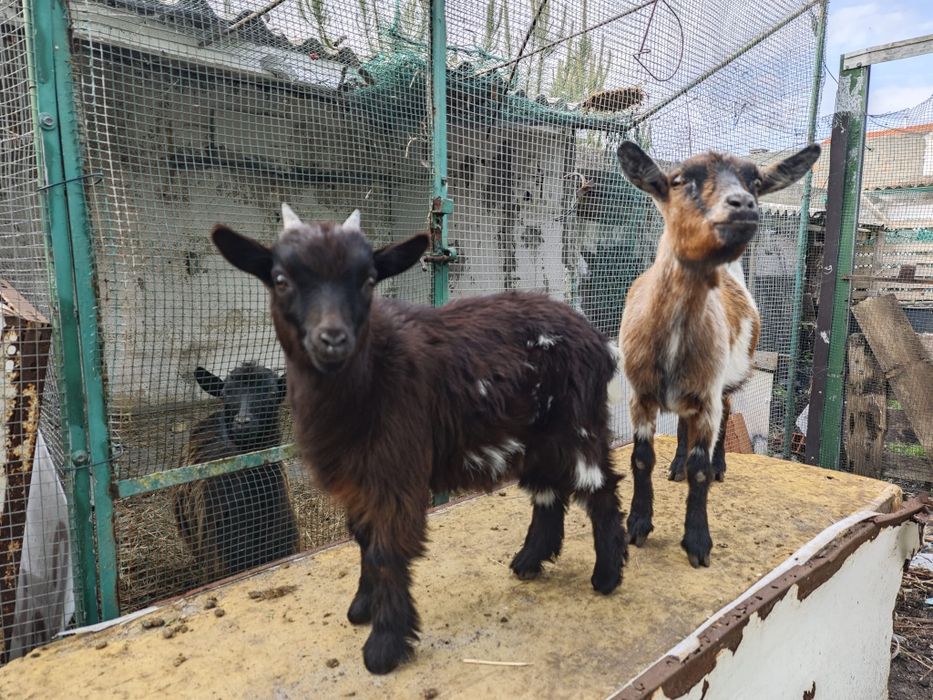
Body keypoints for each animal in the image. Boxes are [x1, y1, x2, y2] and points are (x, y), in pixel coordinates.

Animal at [210, 205, 627, 674]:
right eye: (281, 279)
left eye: (369, 279)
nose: (333, 340)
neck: (372, 373)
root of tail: (598, 340)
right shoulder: (359, 478)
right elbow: (363, 539)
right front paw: (363, 606)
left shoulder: (396, 468)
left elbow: (387, 551)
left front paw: (385, 645)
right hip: (535, 435)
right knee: (547, 493)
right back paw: (529, 561)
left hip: (578, 425)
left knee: (601, 491)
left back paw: (607, 576)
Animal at [615, 141, 821, 568]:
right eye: (679, 180)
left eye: (754, 181)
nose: (743, 205)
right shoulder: (640, 394)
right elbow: (641, 459)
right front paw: (638, 525)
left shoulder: (707, 392)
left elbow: (700, 468)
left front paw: (697, 542)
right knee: (681, 424)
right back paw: (675, 465)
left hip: (721, 382)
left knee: (726, 415)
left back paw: (720, 466)